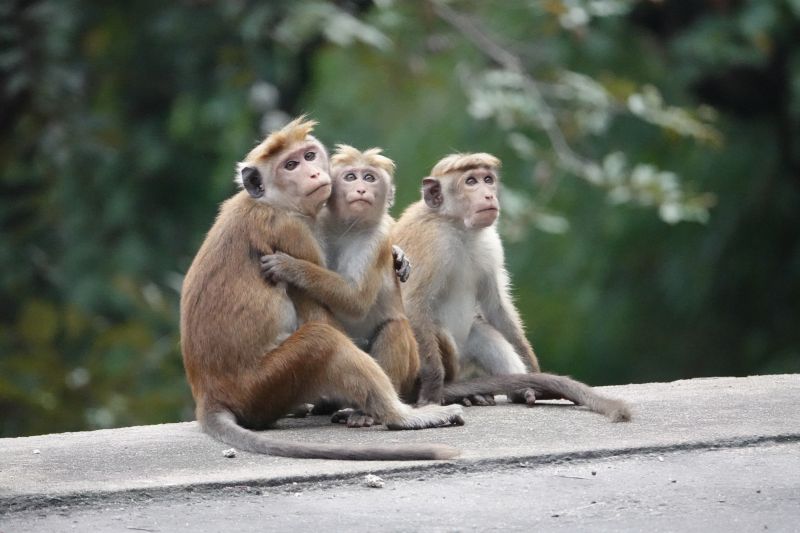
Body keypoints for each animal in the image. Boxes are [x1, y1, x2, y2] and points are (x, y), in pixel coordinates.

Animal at [261, 145, 420, 427]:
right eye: (351, 177)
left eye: (369, 178)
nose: (361, 189)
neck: (346, 228)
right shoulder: (315, 220)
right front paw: (399, 257)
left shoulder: (375, 240)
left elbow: (355, 300)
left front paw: (290, 267)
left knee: (394, 328)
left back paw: (363, 412)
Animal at [392, 152, 631, 422]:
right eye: (471, 181)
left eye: (488, 179)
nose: (489, 195)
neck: (458, 226)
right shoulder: (432, 243)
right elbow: (412, 303)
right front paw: (432, 390)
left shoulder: (490, 244)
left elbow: (496, 307)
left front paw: (535, 376)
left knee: (484, 334)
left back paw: (523, 391)